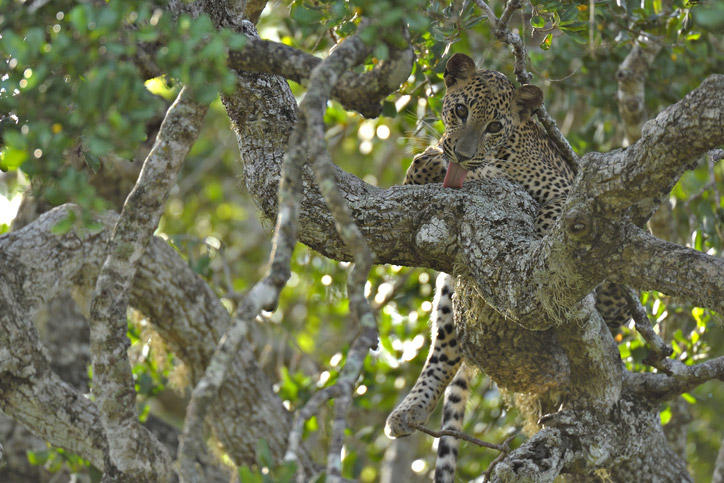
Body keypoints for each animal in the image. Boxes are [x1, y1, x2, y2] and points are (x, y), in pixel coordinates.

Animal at [384, 54, 632, 483]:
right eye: (460, 110)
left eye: (495, 127)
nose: (463, 153)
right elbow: (420, 171)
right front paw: (433, 162)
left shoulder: (564, 190)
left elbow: (553, 222)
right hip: (451, 293)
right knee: (447, 347)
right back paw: (411, 409)